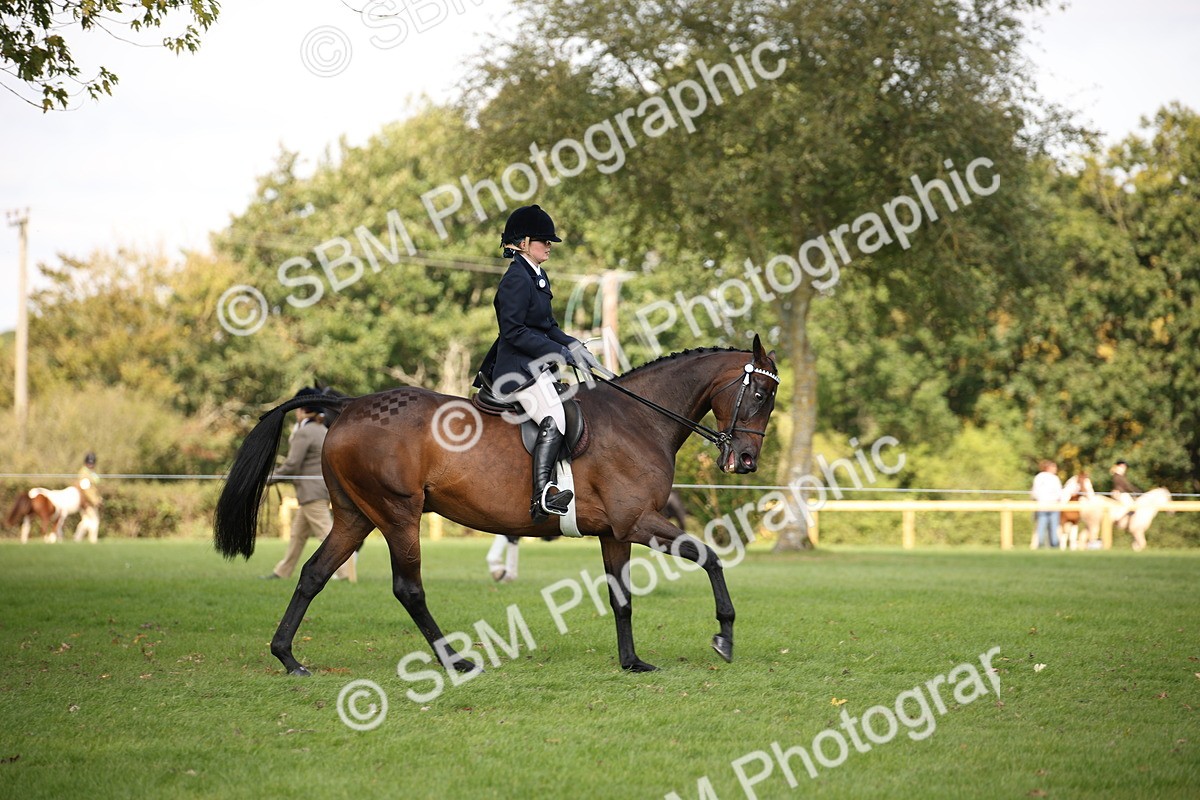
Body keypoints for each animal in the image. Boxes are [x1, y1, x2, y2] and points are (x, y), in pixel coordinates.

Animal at [214, 337, 780, 675]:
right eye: (759, 396)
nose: (746, 460)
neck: (639, 419)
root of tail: (348, 405)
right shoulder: (638, 522)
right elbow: (711, 558)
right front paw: (725, 635)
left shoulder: (615, 532)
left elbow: (621, 597)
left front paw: (632, 661)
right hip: (398, 515)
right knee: (408, 588)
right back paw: (455, 661)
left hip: (355, 516)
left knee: (313, 573)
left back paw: (288, 657)